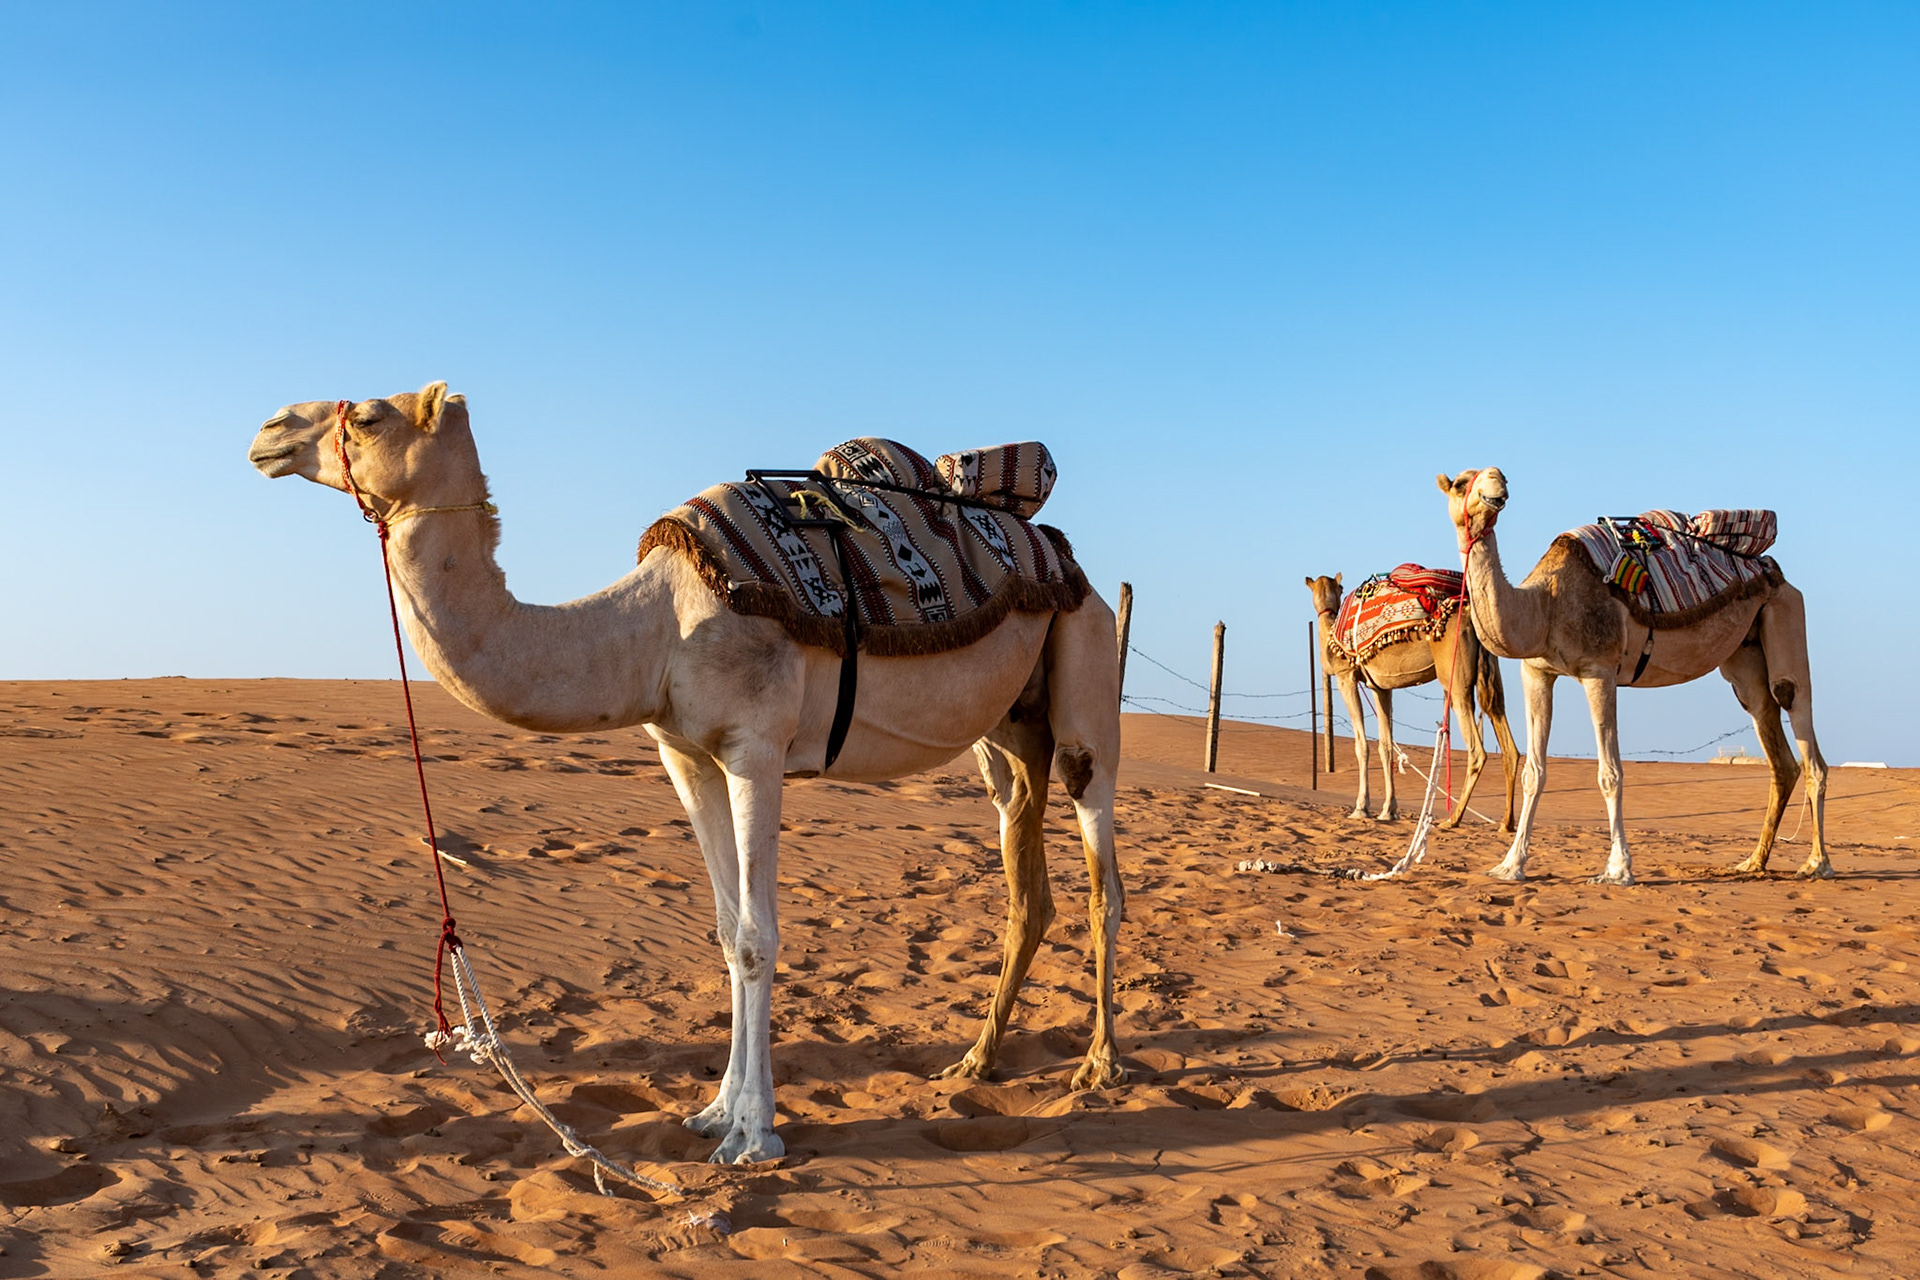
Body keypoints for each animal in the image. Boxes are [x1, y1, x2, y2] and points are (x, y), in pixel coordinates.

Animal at [248, 382, 1125, 1166]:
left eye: (369, 415)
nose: (268, 430)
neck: (655, 628)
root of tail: (1065, 557)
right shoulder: (686, 755)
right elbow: (728, 933)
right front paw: (713, 1114)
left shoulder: (756, 748)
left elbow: (760, 937)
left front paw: (755, 1137)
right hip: (1007, 733)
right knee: (1025, 877)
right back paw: (976, 1060)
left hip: (1085, 664)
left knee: (1100, 874)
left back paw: (1098, 1064)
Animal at [1305, 574, 1519, 832]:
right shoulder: (1380, 686)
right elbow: (1386, 746)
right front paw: (1388, 811)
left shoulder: (1345, 676)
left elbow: (1362, 745)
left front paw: (1360, 808)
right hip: (1490, 671)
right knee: (1507, 737)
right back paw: (1507, 823)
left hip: (1455, 676)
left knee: (1477, 749)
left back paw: (1452, 819)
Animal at [1438, 468, 1828, 884]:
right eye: (1461, 483)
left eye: (1499, 477)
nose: (1497, 487)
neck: (1544, 606)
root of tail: (1772, 570)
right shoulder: (1537, 671)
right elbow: (1535, 772)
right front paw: (1511, 865)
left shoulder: (1600, 670)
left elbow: (1610, 774)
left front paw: (1617, 869)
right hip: (1744, 652)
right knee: (1771, 735)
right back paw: (1754, 861)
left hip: (1785, 609)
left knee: (1795, 705)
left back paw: (1816, 863)